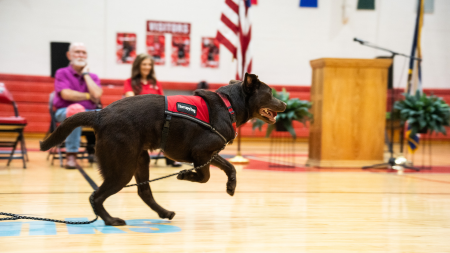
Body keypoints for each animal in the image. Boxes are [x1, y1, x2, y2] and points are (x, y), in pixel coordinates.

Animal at [39, 73, 284, 225]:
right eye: (270, 93)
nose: (285, 103)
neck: (228, 105)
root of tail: (101, 114)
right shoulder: (201, 153)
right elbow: (204, 176)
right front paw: (186, 175)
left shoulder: (209, 154)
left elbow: (230, 166)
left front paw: (231, 186)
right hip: (122, 168)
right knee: (96, 197)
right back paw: (111, 221)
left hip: (140, 159)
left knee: (144, 192)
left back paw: (163, 212)